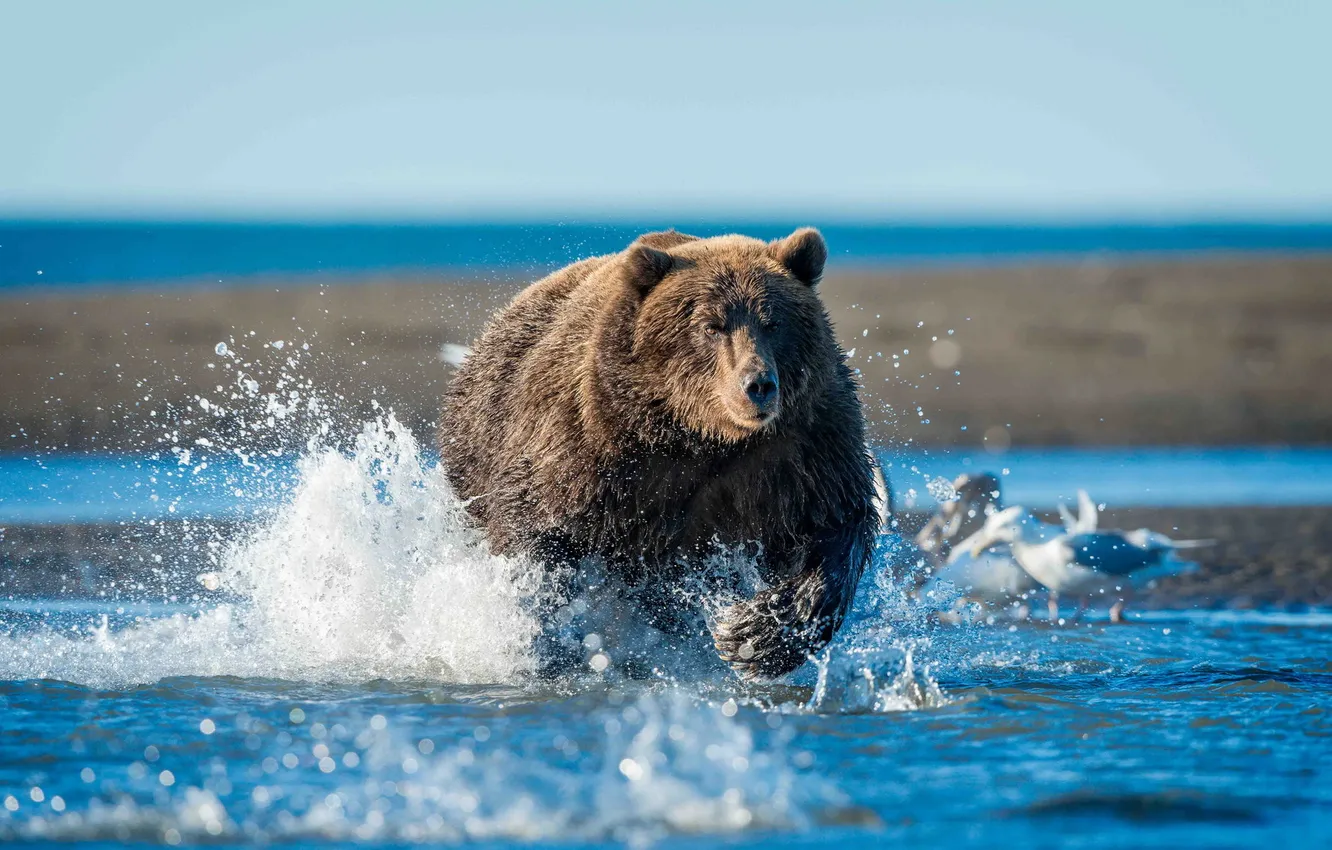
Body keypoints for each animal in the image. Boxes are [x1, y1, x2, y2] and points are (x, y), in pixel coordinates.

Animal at [438, 227, 877, 680]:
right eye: (711, 326)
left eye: (773, 323)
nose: (757, 384)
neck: (702, 436)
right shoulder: (589, 445)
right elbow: (537, 530)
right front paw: (544, 639)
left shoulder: (804, 451)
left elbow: (837, 523)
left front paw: (752, 635)